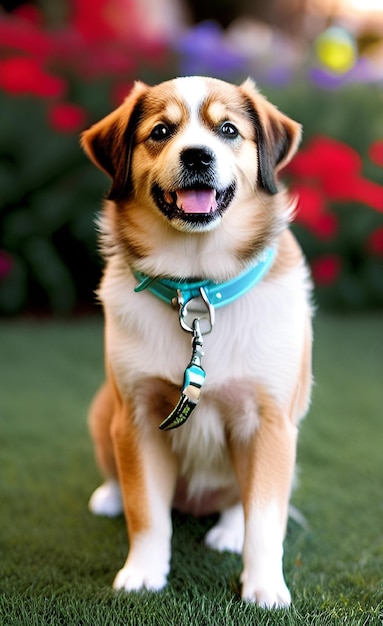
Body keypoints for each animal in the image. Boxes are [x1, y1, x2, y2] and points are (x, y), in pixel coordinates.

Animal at [81, 75, 312, 608]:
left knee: (241, 502)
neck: (198, 285)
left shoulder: (271, 421)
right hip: (104, 411)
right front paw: (143, 572)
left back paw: (228, 530)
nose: (197, 157)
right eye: (161, 131)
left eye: (227, 129)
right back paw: (109, 496)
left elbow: (265, 519)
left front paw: (265, 586)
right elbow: (147, 513)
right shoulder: (136, 417)